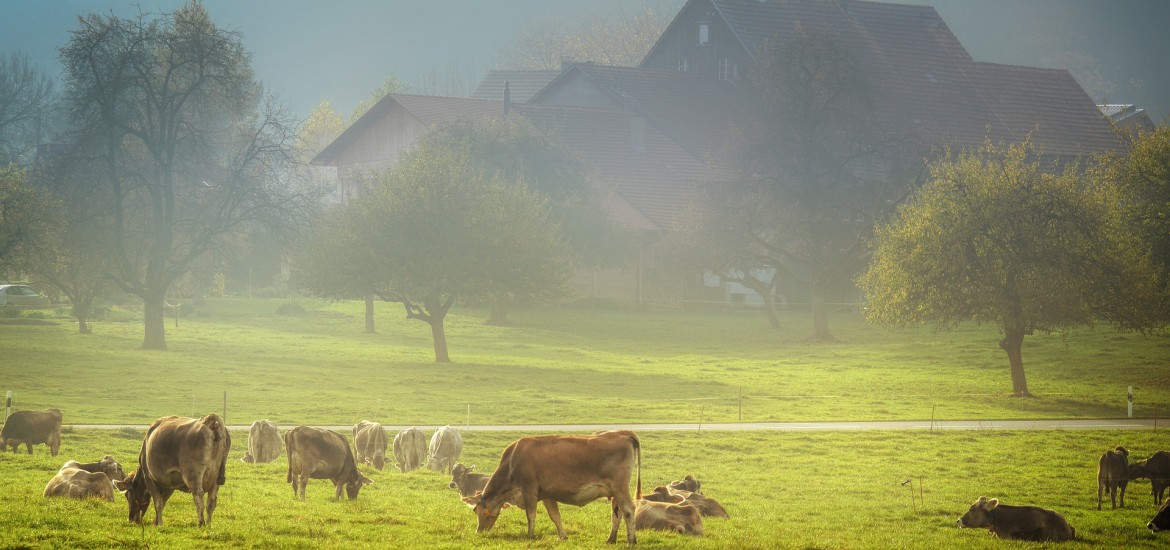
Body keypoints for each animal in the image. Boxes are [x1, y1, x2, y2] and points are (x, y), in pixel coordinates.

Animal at [463, 430, 641, 545]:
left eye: (476, 510)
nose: (479, 531)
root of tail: (623, 433)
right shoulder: (547, 495)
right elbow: (555, 516)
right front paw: (562, 536)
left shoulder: (529, 489)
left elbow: (531, 514)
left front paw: (530, 535)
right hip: (614, 492)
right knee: (616, 514)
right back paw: (611, 539)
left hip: (620, 487)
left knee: (628, 510)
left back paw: (631, 541)